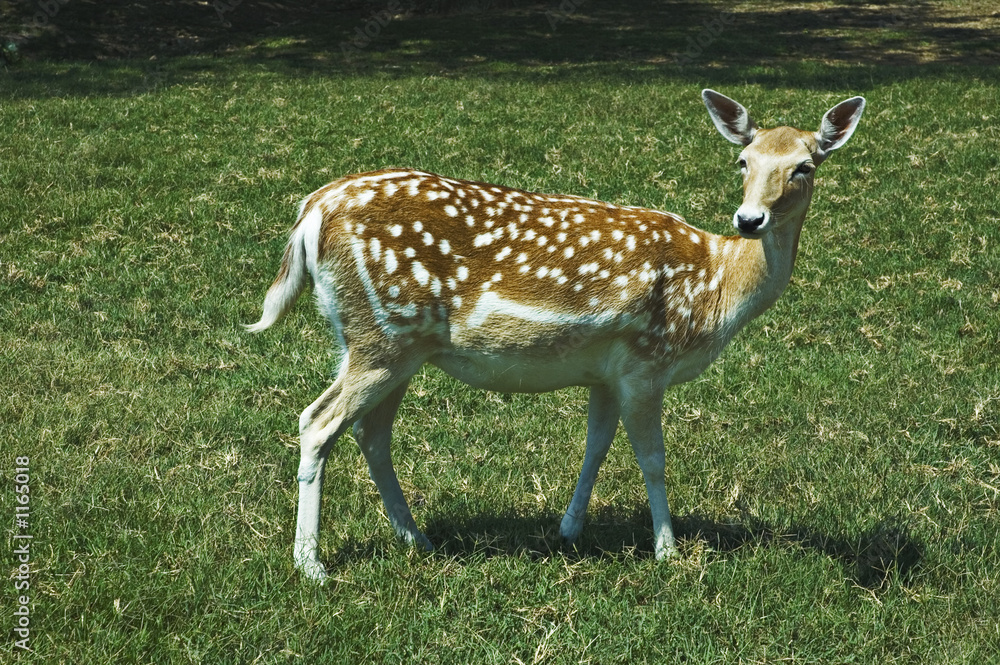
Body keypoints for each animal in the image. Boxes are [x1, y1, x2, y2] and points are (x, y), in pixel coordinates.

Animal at [250, 91, 868, 580]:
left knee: (371, 432)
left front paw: (569, 529)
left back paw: (417, 539)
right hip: (381, 336)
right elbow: (652, 456)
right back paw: (311, 565)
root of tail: (312, 211)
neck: (716, 287)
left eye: (805, 165)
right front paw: (667, 551)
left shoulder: (607, 371)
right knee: (318, 422)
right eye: (742, 160)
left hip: (388, 344)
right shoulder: (647, 360)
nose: (749, 220)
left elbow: (597, 444)